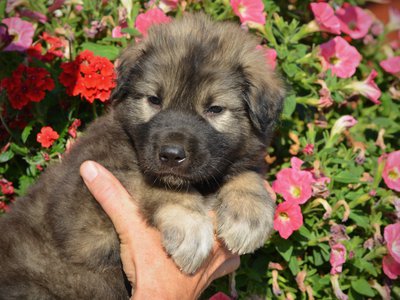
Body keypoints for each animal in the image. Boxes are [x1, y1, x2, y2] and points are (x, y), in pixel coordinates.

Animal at [0, 12, 284, 298]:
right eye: (154, 100)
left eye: (215, 109)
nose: (171, 155)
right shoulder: (87, 193)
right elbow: (154, 183)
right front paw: (191, 226)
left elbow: (246, 173)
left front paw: (248, 215)